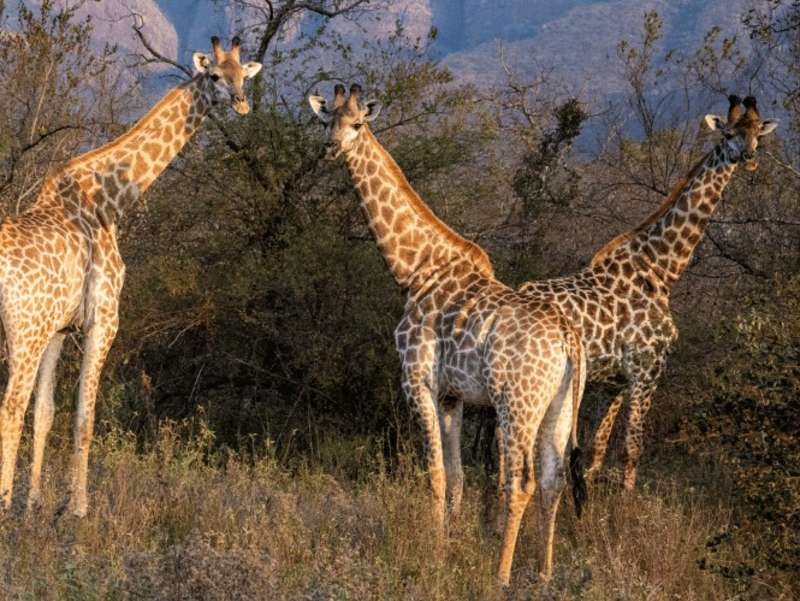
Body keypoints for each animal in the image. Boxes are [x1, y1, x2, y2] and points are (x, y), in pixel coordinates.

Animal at [0, 37, 261, 517]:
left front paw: (35, 504)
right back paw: (3, 505)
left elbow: (45, 412)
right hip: (22, 332)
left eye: (242, 75)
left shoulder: (59, 328)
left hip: (27, 332)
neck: (111, 201)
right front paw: (76, 508)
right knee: (9, 406)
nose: (240, 103)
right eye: (215, 75)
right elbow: (84, 415)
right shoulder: (103, 319)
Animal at [309, 84, 588, 586]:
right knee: (552, 479)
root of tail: (568, 338)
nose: (331, 148)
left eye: (357, 124)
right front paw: (451, 544)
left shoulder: (416, 379)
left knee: (520, 480)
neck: (414, 269)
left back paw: (501, 574)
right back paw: (543, 573)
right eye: (326, 121)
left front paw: (433, 551)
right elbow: (457, 475)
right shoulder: (452, 394)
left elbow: (435, 471)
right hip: (559, 407)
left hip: (516, 403)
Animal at [509, 94, 777, 491]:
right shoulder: (648, 369)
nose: (750, 158)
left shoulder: (618, 380)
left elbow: (599, 449)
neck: (662, 269)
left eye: (758, 134)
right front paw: (625, 503)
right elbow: (631, 448)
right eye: (728, 133)